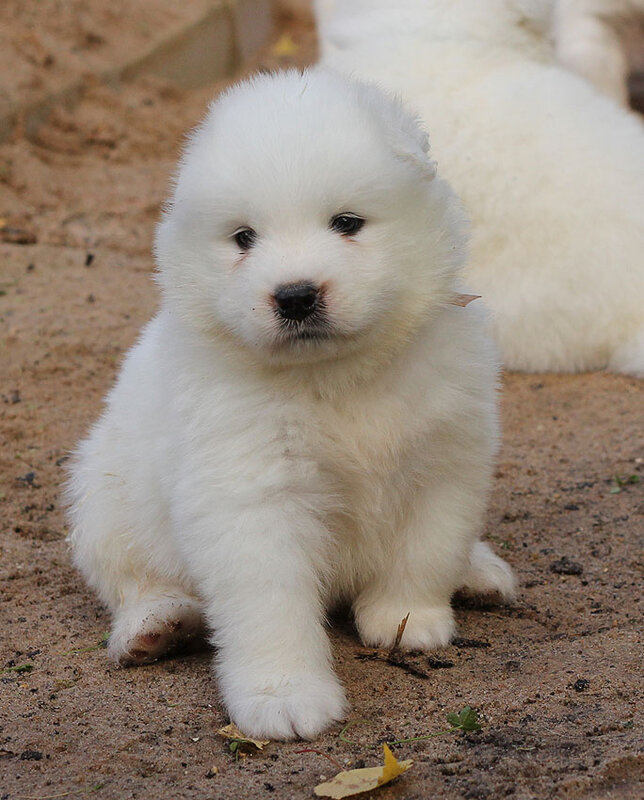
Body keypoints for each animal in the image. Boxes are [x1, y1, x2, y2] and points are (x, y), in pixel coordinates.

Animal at [68, 67, 516, 736]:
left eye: (347, 223)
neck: (334, 375)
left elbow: (425, 550)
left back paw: (481, 572)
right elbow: (269, 606)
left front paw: (408, 619)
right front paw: (284, 698)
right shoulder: (251, 497)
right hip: (102, 502)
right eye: (244, 238)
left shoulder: (445, 461)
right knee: (133, 580)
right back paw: (157, 626)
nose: (296, 296)